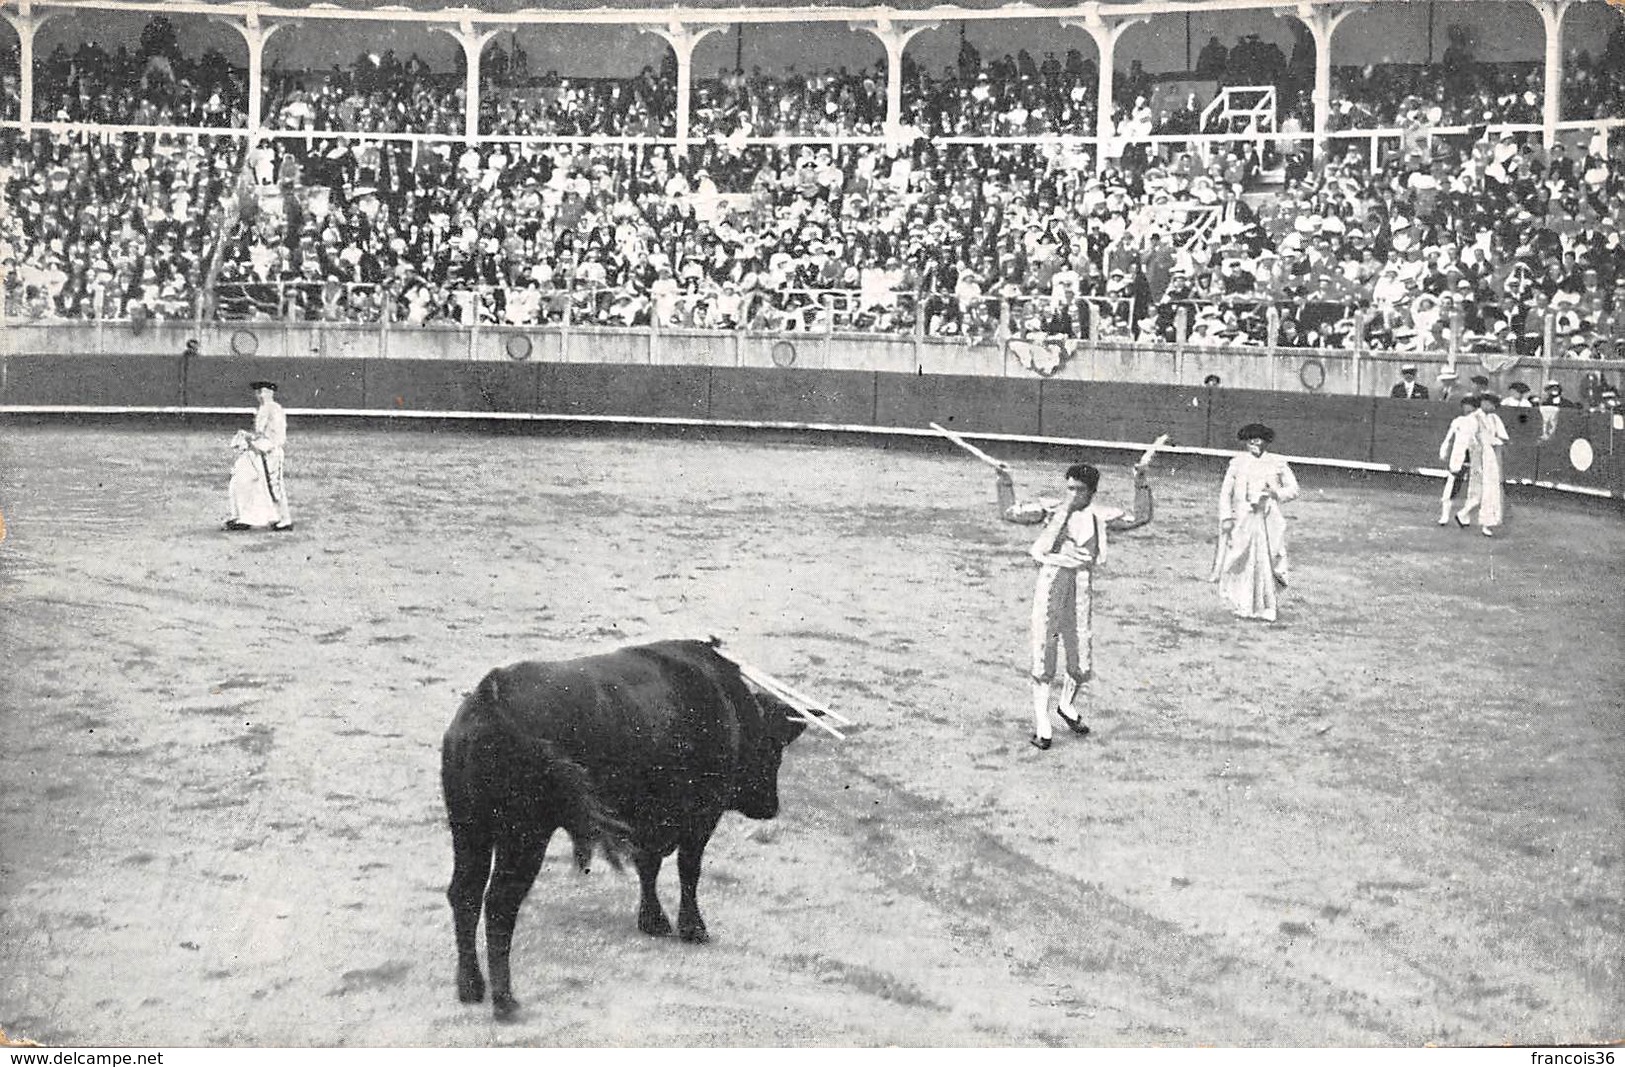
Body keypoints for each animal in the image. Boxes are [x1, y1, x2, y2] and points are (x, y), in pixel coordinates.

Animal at [442, 636, 809, 1019]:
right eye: (775, 746)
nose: (771, 807)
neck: (727, 704)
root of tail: (490, 700)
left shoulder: (645, 822)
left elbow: (648, 867)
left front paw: (653, 922)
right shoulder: (700, 817)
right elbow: (687, 870)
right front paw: (693, 929)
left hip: (469, 829)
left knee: (464, 893)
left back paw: (470, 987)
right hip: (523, 837)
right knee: (500, 903)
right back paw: (505, 1001)